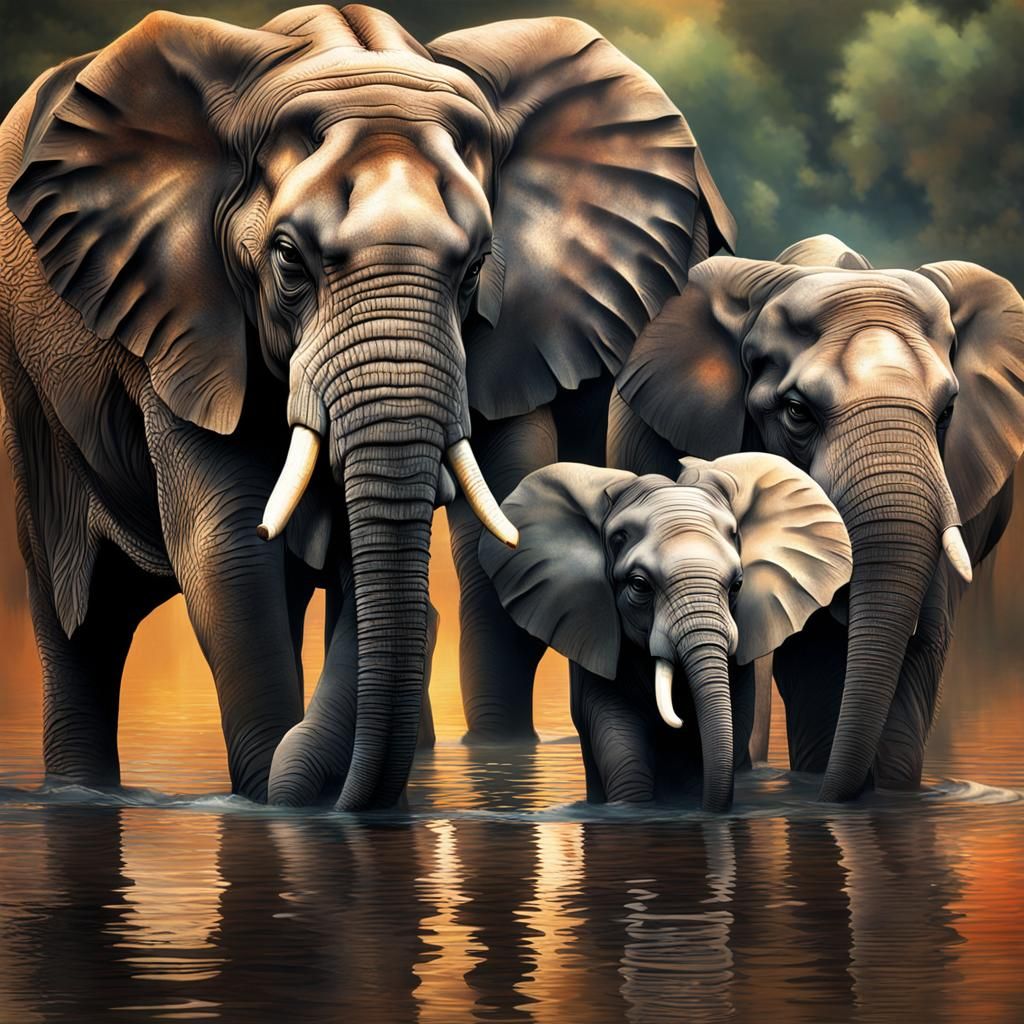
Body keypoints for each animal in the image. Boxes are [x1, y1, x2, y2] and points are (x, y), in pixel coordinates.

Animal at [0, 5, 732, 807]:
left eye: (475, 268)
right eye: (289, 261)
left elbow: (474, 523)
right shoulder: (179, 320)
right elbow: (230, 550)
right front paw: (267, 800)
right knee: (79, 622)